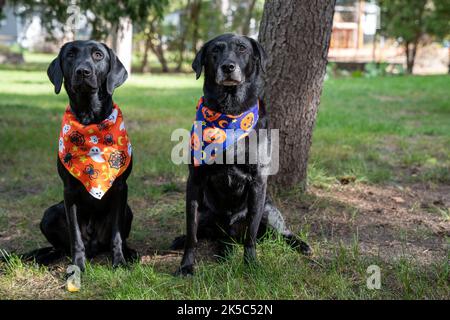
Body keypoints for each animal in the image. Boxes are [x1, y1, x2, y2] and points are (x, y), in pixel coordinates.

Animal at [29, 40, 135, 270]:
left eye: (98, 55)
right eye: (70, 55)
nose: (83, 71)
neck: (90, 120)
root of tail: (94, 244)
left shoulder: (121, 188)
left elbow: (116, 235)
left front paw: (119, 261)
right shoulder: (68, 192)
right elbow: (75, 236)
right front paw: (77, 266)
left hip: (128, 211)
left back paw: (130, 252)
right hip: (50, 213)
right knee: (61, 247)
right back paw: (45, 257)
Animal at [171, 34, 312, 276]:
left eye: (242, 49)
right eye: (215, 50)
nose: (228, 66)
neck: (230, 112)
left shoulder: (257, 183)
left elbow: (251, 234)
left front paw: (251, 263)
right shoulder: (195, 182)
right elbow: (192, 233)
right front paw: (186, 265)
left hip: (269, 210)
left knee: (281, 232)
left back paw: (300, 244)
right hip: (208, 213)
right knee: (208, 232)